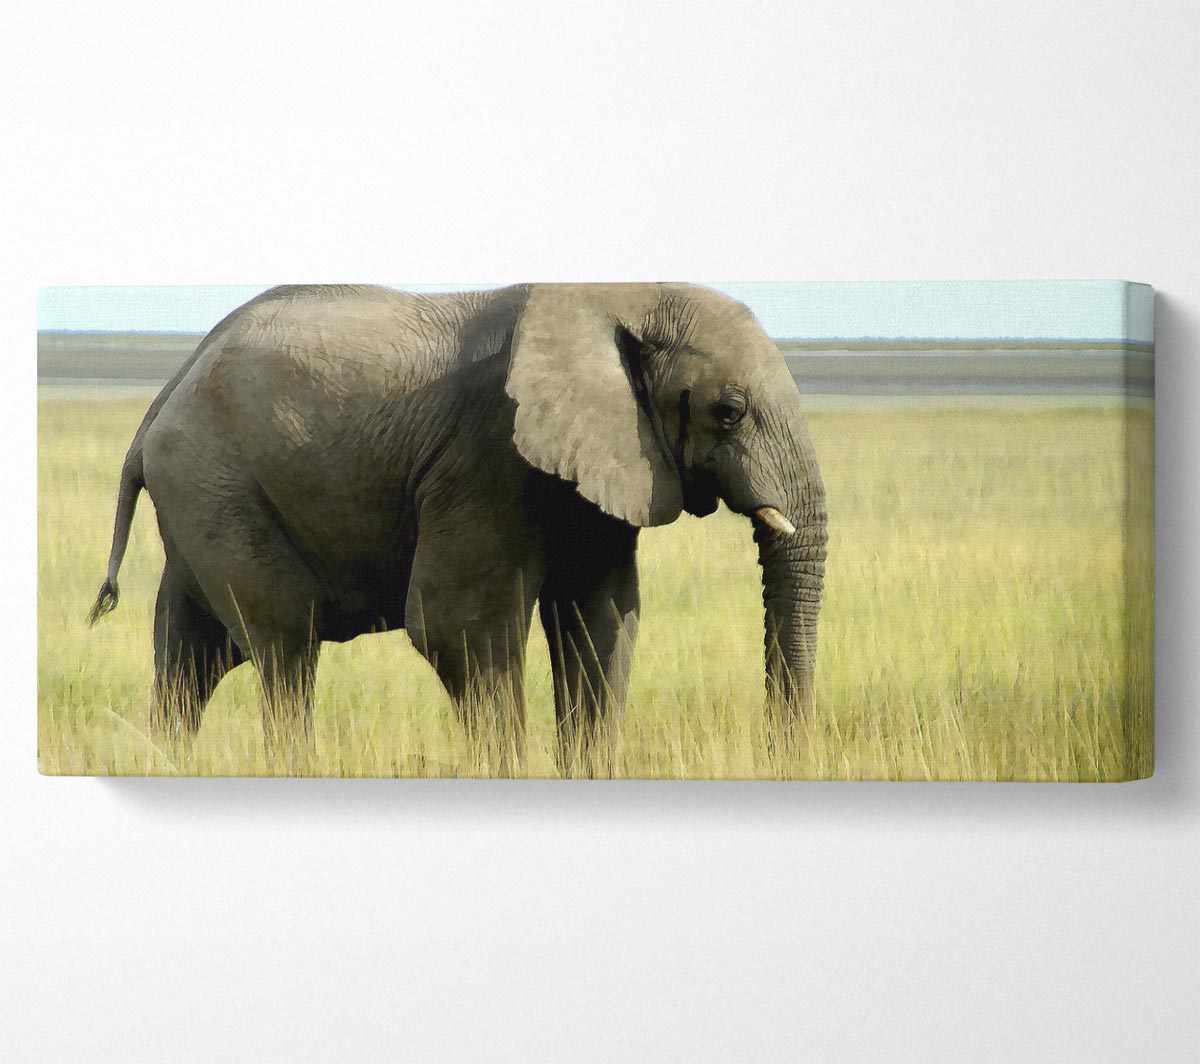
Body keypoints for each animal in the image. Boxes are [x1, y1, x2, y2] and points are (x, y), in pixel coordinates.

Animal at [89, 283, 827, 771]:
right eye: (728, 411)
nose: (778, 759)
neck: (616, 295)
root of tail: (162, 398)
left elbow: (603, 621)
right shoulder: (488, 456)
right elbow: (461, 629)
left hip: (201, 499)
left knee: (191, 653)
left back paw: (165, 760)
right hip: (216, 484)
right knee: (284, 647)